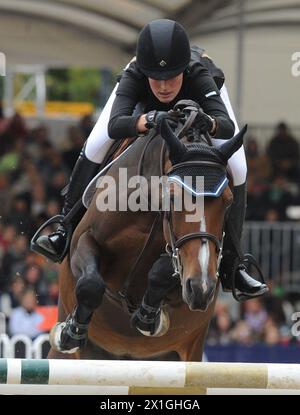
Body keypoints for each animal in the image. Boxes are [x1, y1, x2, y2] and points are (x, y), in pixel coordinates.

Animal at [47, 106, 246, 360]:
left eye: (229, 201)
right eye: (172, 196)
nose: (202, 288)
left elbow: (162, 270)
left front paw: (148, 318)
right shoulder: (83, 241)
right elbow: (90, 283)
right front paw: (71, 332)